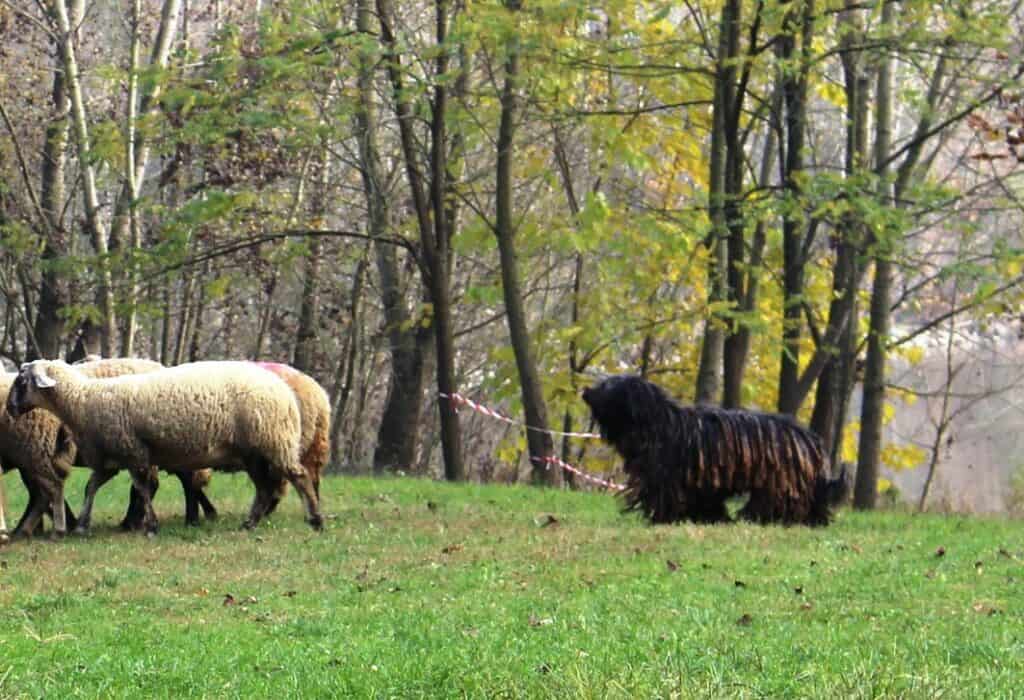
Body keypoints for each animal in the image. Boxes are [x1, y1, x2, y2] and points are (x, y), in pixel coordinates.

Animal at [4, 360, 319, 532]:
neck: (85, 399)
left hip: (274, 441)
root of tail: (284, 388)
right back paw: (249, 523)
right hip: (253, 451)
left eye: (21, 381)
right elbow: (92, 487)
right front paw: (81, 524)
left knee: (299, 476)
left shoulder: (133, 451)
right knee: (264, 488)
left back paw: (315, 519)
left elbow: (143, 490)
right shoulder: (114, 457)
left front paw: (150, 525)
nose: (9, 409)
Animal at [585, 374, 847, 528]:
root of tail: (810, 439)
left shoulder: (668, 478)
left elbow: (667, 498)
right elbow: (706, 502)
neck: (658, 423)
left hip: (779, 482)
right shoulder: (703, 483)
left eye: (606, 386)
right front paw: (711, 518)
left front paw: (663, 519)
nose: (585, 391)